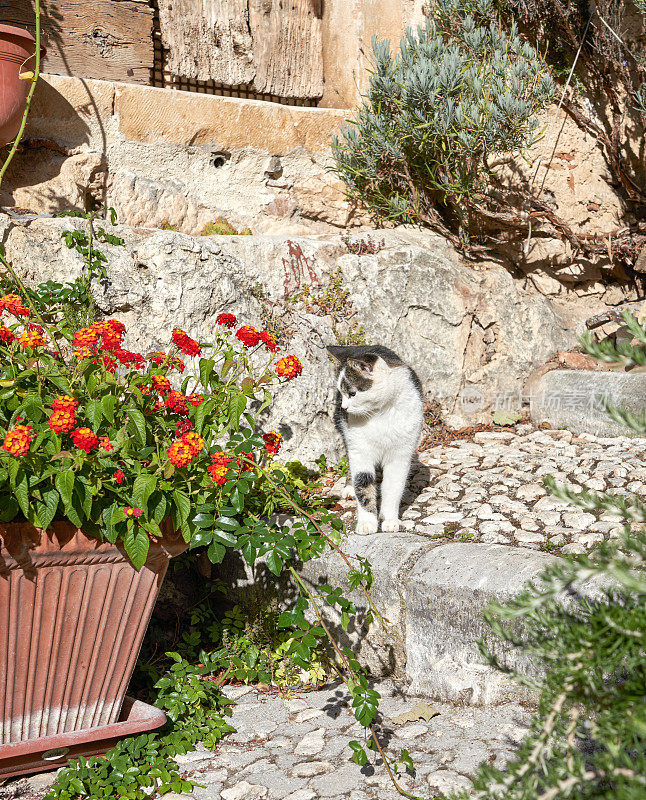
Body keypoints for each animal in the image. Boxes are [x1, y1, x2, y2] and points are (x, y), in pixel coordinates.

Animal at [330, 346, 426, 536]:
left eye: (352, 393)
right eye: (341, 393)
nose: (343, 407)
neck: (380, 413)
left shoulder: (400, 454)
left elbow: (393, 488)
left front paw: (389, 520)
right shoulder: (359, 449)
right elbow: (363, 484)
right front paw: (367, 522)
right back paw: (349, 488)